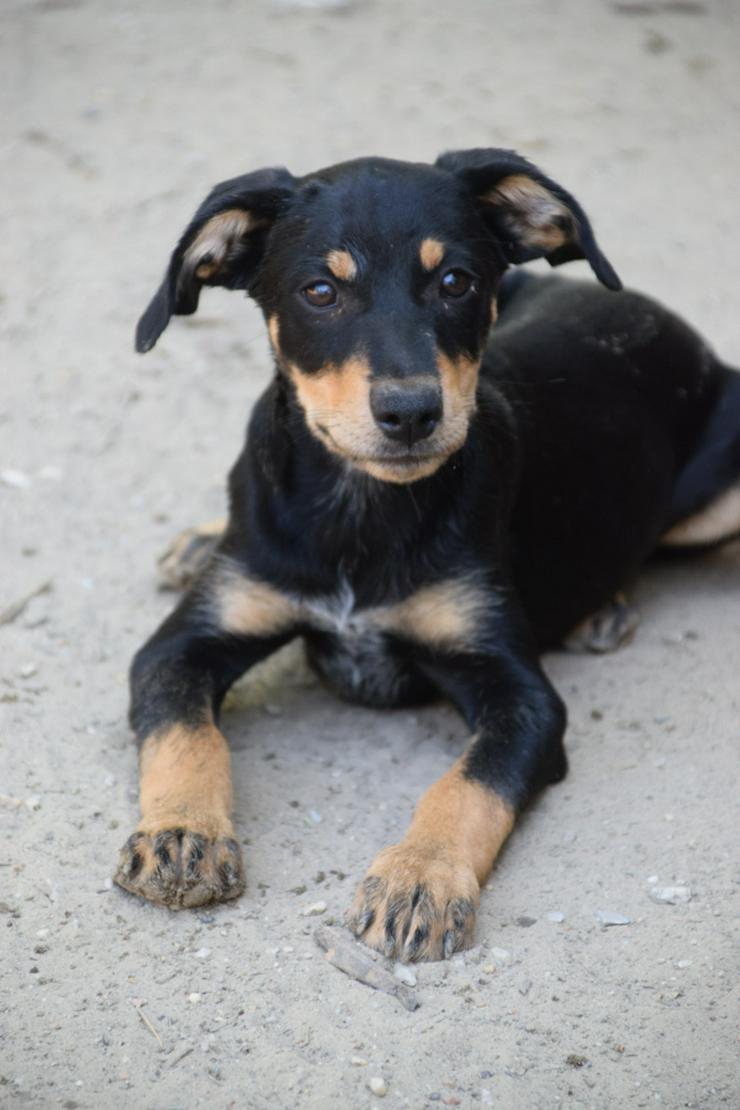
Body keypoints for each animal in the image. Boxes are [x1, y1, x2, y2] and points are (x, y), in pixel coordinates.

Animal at [114, 147, 740, 963]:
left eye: (456, 283)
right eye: (320, 291)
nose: (410, 413)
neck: (362, 511)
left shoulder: (522, 696)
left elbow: (468, 785)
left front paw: (420, 879)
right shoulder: (180, 645)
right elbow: (185, 734)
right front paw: (181, 833)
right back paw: (199, 540)